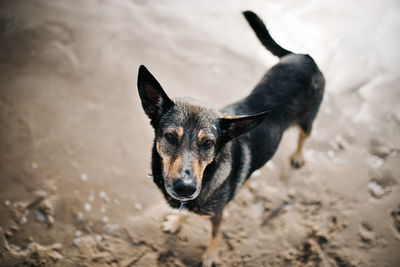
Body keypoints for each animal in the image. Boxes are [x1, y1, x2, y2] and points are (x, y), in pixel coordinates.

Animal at [136, 9, 324, 266]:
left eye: (208, 143)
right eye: (170, 137)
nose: (185, 188)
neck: (208, 175)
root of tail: (303, 55)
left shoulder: (218, 213)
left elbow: (215, 235)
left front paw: (210, 256)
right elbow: (185, 211)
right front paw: (176, 222)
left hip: (308, 119)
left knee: (304, 136)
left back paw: (297, 156)